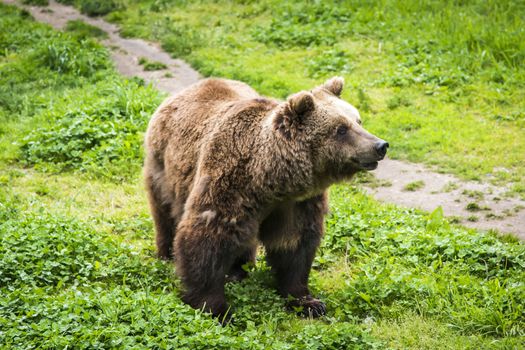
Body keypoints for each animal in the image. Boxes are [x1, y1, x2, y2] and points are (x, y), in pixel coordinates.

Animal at [142, 77, 384, 320]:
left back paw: (238, 269)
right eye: (341, 129)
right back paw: (167, 254)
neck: (269, 180)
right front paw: (216, 308)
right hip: (164, 168)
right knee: (165, 212)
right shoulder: (229, 182)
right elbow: (206, 237)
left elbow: (295, 246)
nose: (380, 145)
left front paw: (308, 302)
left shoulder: (296, 204)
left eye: (358, 120)